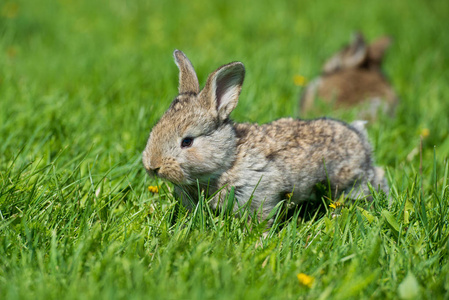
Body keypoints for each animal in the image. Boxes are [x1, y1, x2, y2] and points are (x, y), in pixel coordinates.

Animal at [142, 49, 386, 223]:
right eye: (155, 130)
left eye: (187, 141)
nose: (153, 166)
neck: (229, 159)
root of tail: (358, 135)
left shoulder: (260, 192)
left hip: (350, 179)